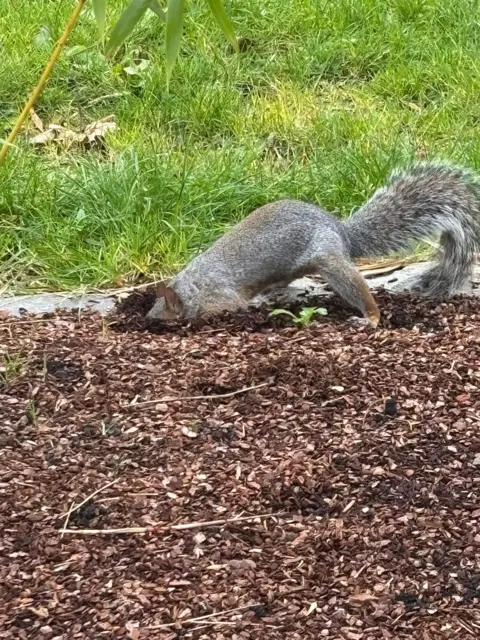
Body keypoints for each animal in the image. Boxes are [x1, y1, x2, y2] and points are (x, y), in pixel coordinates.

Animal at [146, 162, 480, 327]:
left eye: (161, 315)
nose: (147, 321)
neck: (192, 287)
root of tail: (341, 231)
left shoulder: (219, 296)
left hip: (329, 259)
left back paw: (370, 318)